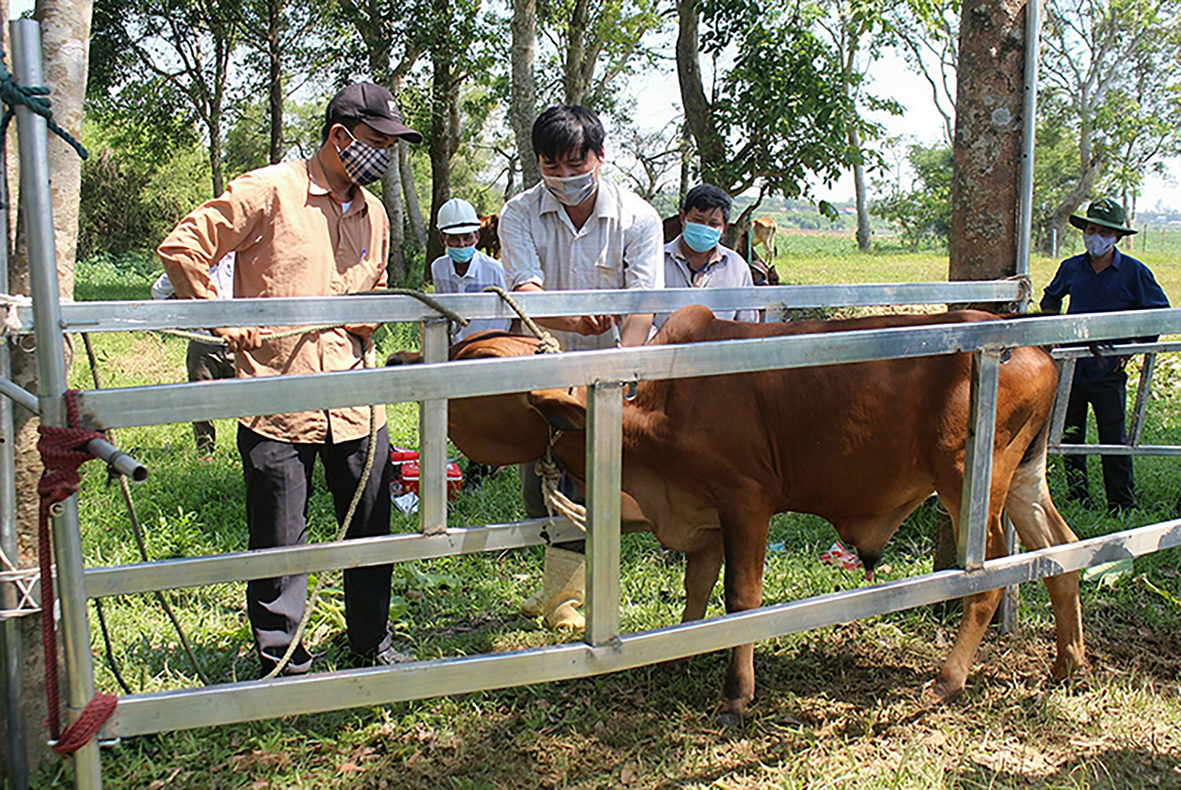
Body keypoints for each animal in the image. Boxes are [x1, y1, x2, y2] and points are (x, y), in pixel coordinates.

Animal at [422, 307, 1081, 722]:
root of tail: (1036, 351)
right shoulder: (706, 516)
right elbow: (697, 587)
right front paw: (679, 651)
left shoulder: (746, 501)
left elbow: (741, 599)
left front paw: (736, 695)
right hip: (1024, 479)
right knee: (1063, 555)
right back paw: (1067, 663)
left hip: (971, 482)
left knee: (989, 580)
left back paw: (948, 679)